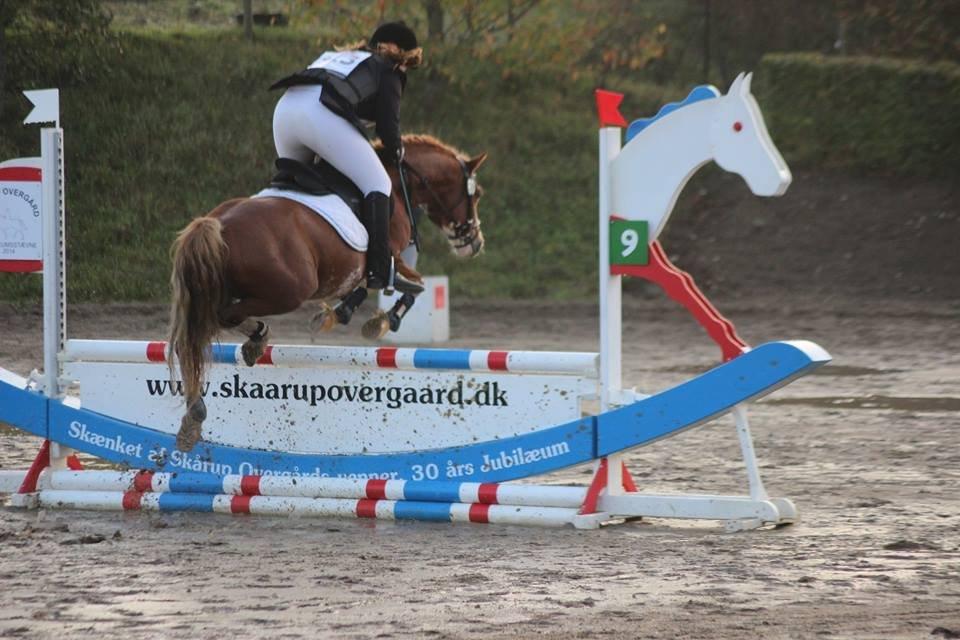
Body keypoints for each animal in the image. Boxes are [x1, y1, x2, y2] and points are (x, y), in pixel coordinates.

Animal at [167, 134, 488, 450]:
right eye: (476, 195)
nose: (475, 243)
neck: (400, 182)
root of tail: (215, 224)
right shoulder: (391, 257)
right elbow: (413, 286)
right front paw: (383, 320)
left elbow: (366, 287)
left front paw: (338, 314)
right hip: (290, 290)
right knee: (219, 319)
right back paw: (253, 343)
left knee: (192, 339)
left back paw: (196, 412)